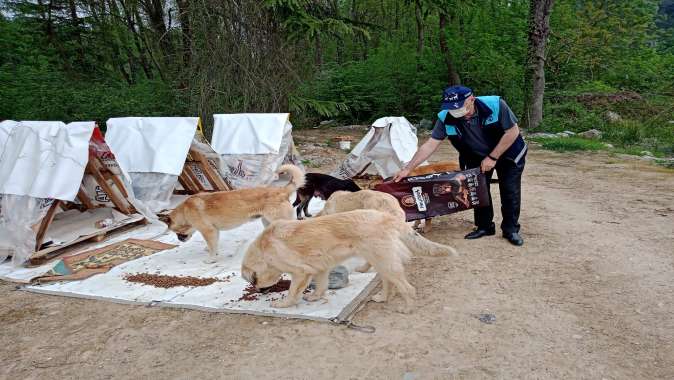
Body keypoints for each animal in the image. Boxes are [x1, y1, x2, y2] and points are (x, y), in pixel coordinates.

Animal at [167, 165, 304, 262]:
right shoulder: (214, 232)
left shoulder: (209, 231)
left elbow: (212, 247)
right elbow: (212, 245)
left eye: (176, 232)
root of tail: (282, 190)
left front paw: (211, 259)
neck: (185, 211)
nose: (180, 240)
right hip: (268, 222)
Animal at [239, 208, 454, 312]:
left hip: (385, 262)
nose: (259, 291)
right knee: (389, 283)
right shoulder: (320, 268)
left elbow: (293, 292)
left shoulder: (300, 272)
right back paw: (383, 298)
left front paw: (284, 304)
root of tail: (386, 217)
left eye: (254, 281)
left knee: (407, 288)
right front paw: (315, 297)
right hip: (381, 261)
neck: (264, 249)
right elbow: (321, 286)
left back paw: (407, 309)